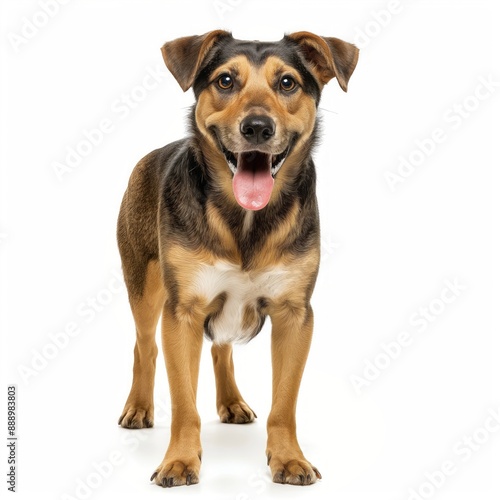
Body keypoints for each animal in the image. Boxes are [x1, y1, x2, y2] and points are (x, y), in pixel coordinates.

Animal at [117, 29, 360, 486]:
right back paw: (138, 407)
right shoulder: (183, 313)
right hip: (143, 285)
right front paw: (180, 460)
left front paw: (289, 459)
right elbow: (184, 403)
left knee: (221, 349)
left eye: (287, 83)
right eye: (226, 81)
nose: (257, 127)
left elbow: (284, 404)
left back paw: (231, 402)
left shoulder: (294, 315)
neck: (245, 219)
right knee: (145, 347)